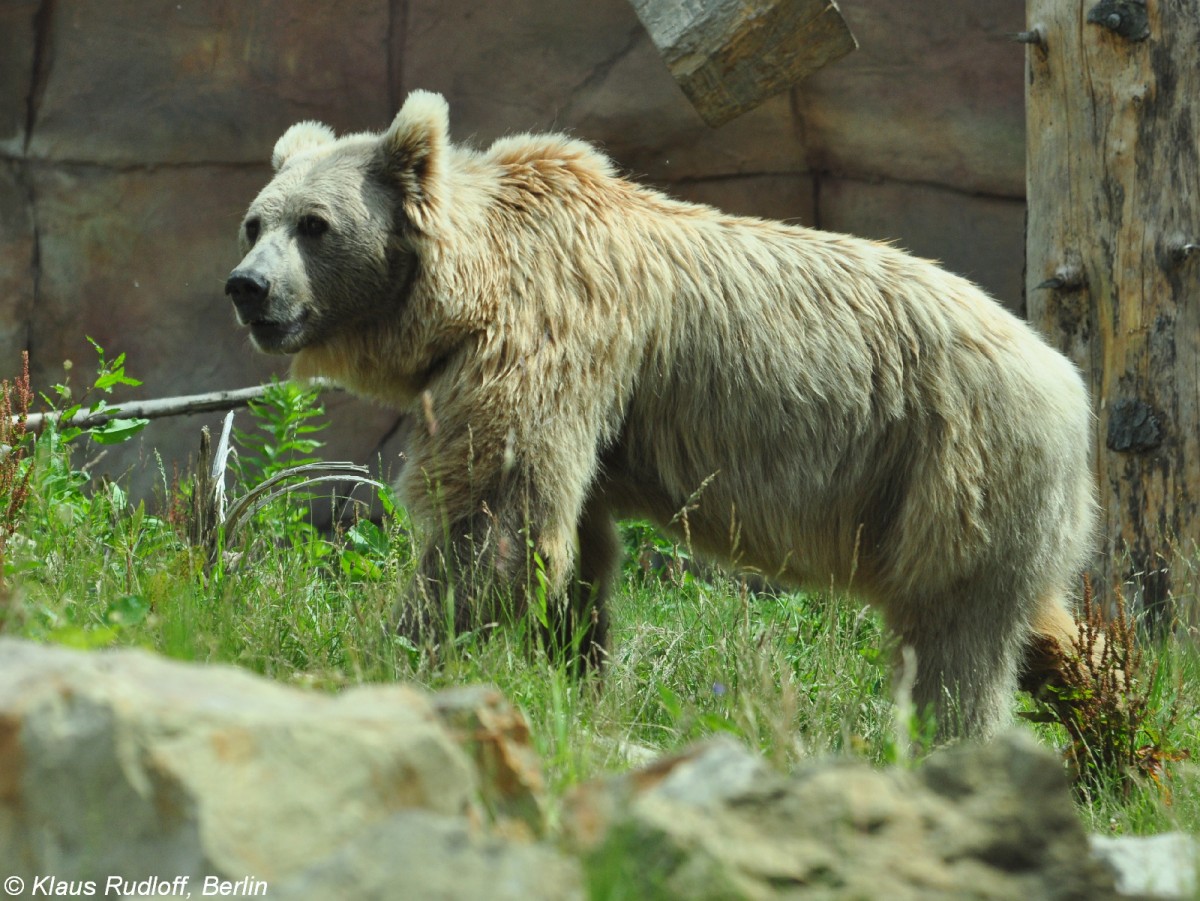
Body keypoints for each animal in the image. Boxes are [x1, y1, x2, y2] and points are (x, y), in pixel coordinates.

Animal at [225, 89, 1099, 739]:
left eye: (315, 223)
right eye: (255, 220)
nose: (248, 287)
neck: (468, 290)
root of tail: (1066, 381)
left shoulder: (551, 337)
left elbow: (494, 521)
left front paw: (395, 652)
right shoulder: (582, 410)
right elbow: (569, 545)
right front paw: (575, 671)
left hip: (956, 465)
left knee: (954, 646)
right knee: (1035, 622)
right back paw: (1104, 719)